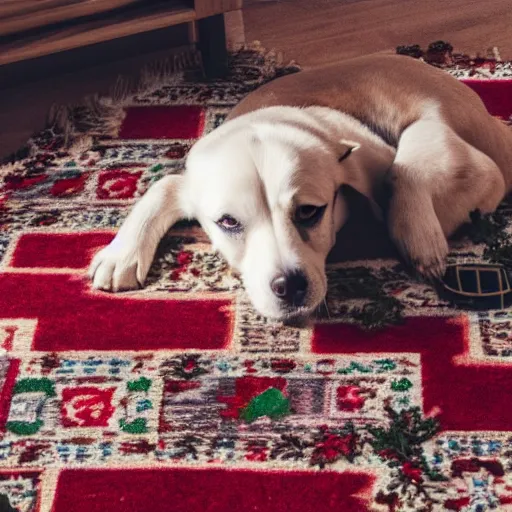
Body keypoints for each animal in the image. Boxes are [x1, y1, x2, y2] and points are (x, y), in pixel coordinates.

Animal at [88, 55, 512, 320]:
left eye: (310, 211)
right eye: (228, 222)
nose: (288, 286)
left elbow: (398, 172)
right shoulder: (189, 181)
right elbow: (161, 186)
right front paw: (121, 254)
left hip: (439, 129)